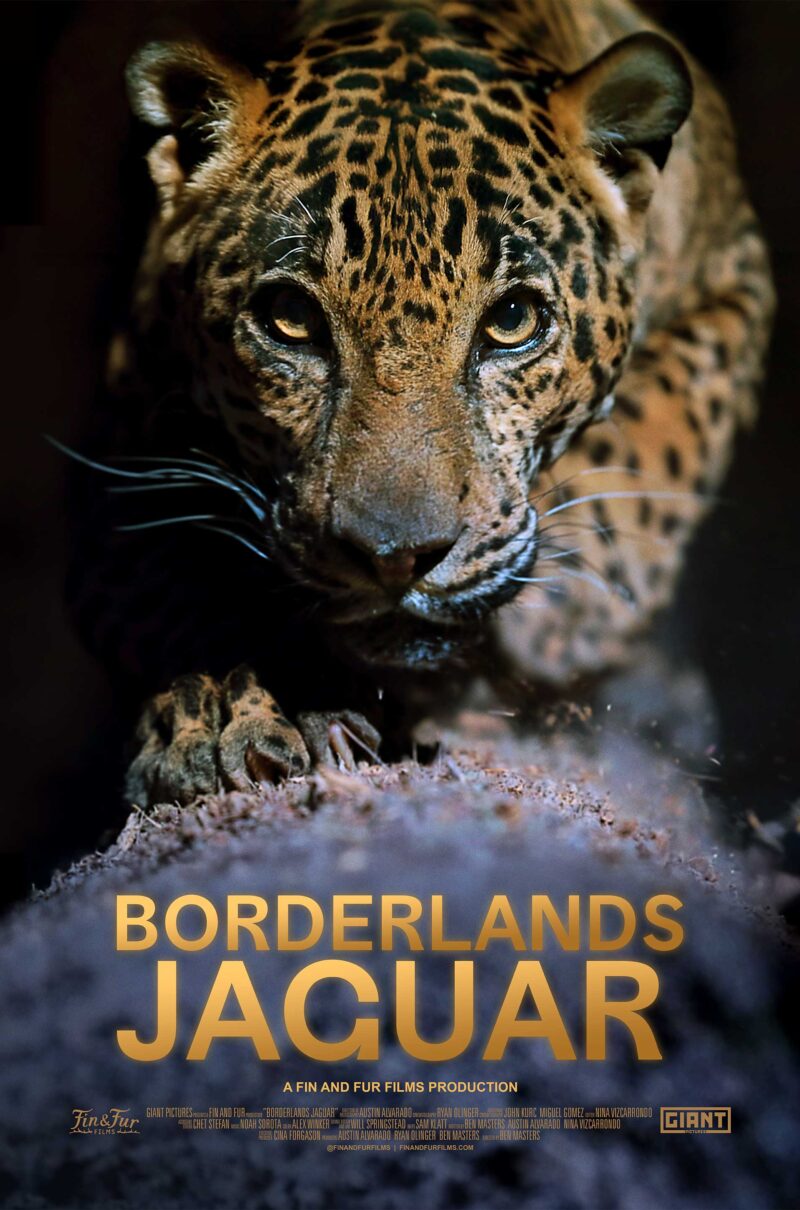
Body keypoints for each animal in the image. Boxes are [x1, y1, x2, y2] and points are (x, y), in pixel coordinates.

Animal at [69, 0, 774, 808]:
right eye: (290, 318)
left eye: (512, 320)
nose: (397, 559)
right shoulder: (125, 428)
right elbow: (164, 583)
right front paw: (221, 711)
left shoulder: (737, 279)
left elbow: (652, 444)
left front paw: (566, 612)